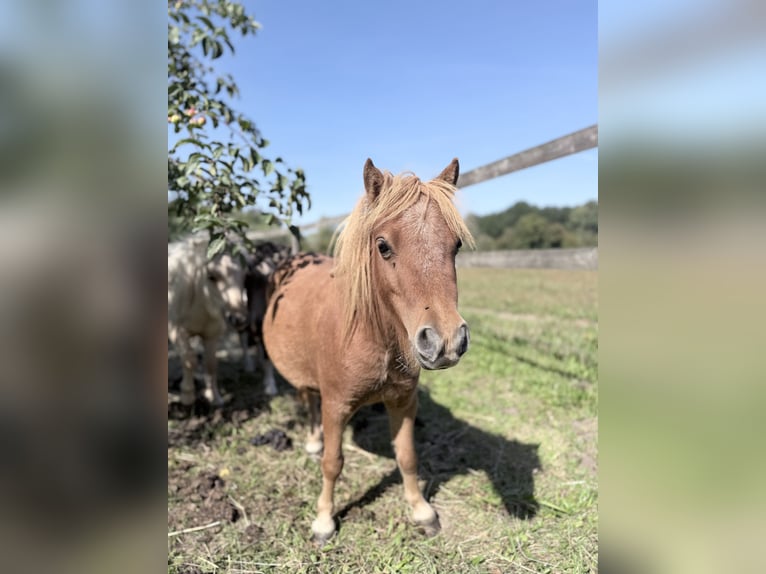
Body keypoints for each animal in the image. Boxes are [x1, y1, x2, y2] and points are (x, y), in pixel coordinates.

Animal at [262, 158, 474, 544]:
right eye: (383, 246)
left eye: (456, 245)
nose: (446, 341)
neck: (373, 336)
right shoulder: (336, 406)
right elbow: (333, 463)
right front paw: (324, 521)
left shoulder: (403, 402)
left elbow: (407, 457)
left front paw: (422, 511)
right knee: (307, 400)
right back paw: (313, 443)